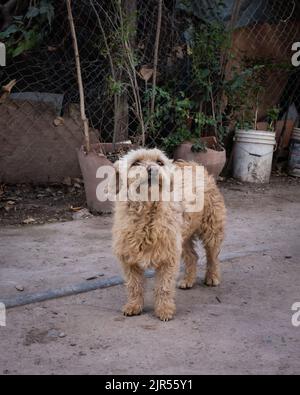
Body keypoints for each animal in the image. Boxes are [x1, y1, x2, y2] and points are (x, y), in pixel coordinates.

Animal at [112, 148, 225, 322]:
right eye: (136, 162)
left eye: (159, 162)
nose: (152, 169)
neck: (147, 214)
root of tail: (194, 165)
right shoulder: (129, 260)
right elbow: (134, 285)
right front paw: (134, 306)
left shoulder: (168, 258)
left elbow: (164, 287)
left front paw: (164, 310)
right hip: (182, 238)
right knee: (193, 257)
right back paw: (188, 280)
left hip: (211, 230)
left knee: (213, 257)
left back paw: (212, 277)